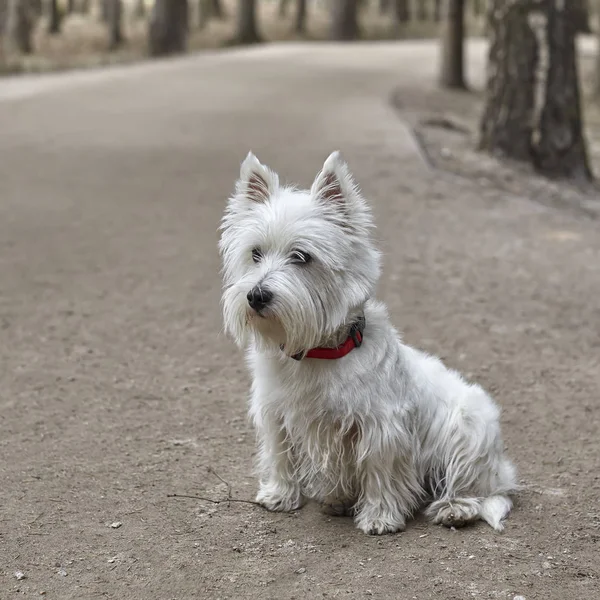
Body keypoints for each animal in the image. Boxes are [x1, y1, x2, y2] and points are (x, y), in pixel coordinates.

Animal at [218, 150, 516, 536]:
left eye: (301, 256)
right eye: (255, 254)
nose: (256, 296)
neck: (318, 352)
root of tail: (501, 468)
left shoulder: (381, 426)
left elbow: (380, 470)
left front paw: (380, 517)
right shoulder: (277, 413)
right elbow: (280, 454)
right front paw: (280, 495)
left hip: (469, 428)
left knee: (476, 487)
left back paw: (455, 509)